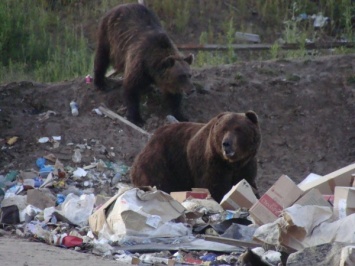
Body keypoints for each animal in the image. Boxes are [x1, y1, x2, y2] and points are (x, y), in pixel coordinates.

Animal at [130, 111, 262, 203]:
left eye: (238, 129)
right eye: (223, 129)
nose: (226, 143)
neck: (231, 163)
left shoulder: (246, 164)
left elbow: (248, 182)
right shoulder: (211, 163)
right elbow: (214, 186)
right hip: (161, 162)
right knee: (158, 181)